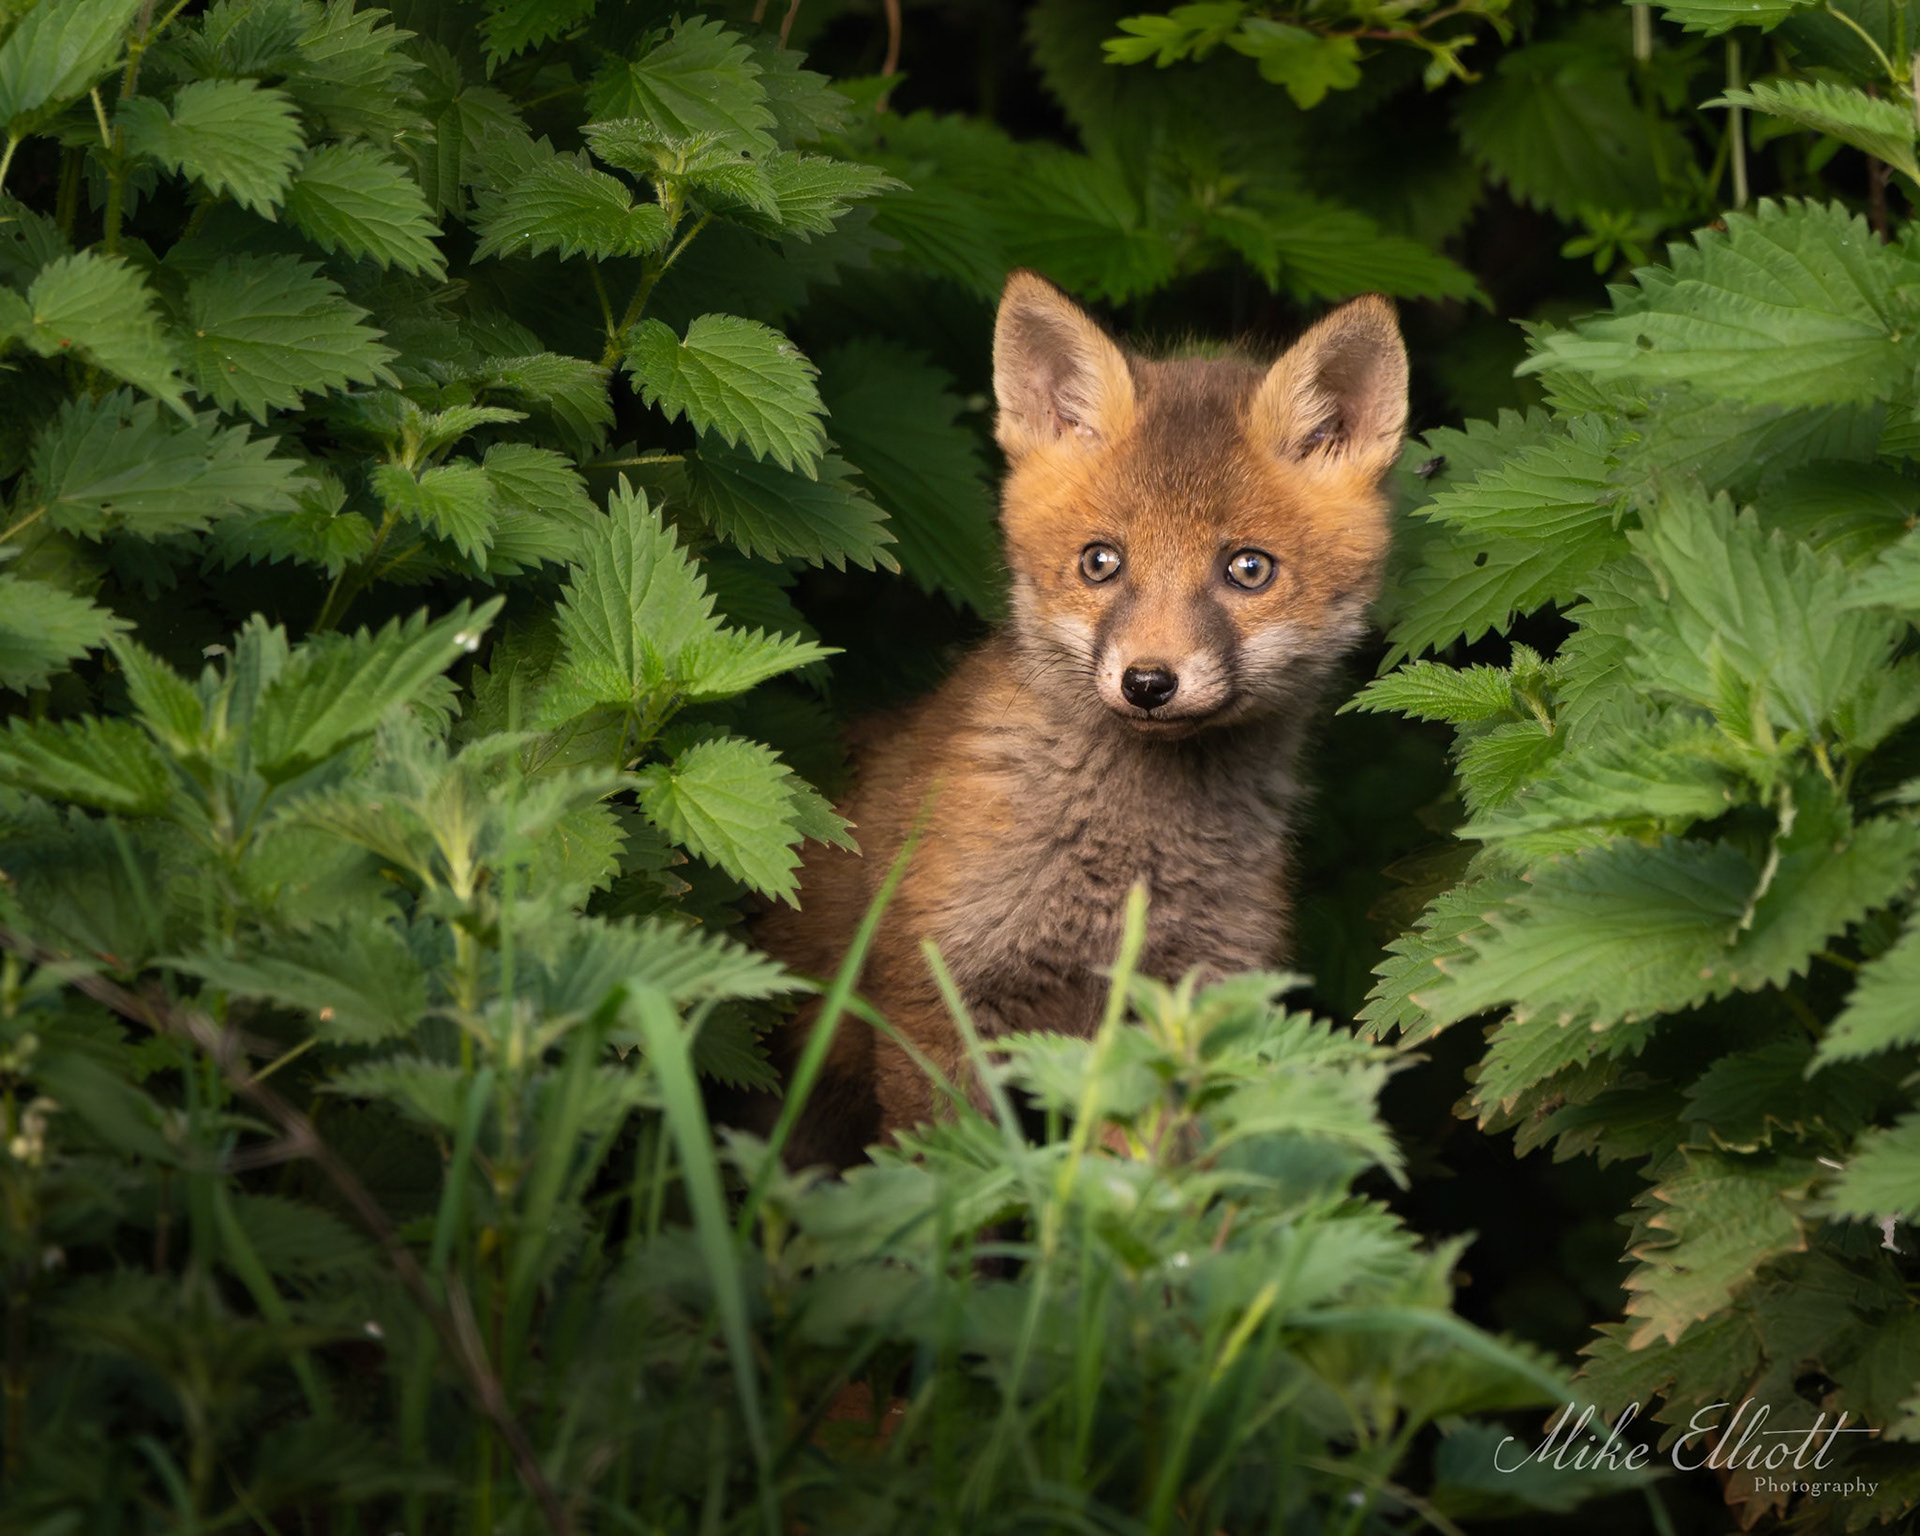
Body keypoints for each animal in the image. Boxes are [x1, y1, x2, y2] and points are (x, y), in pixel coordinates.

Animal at [752, 270, 1409, 1169]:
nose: (1148, 682)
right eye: (1102, 562)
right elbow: (949, 1178)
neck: (1125, 869)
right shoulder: (937, 995)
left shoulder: (1181, 1011)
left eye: (1249, 569)